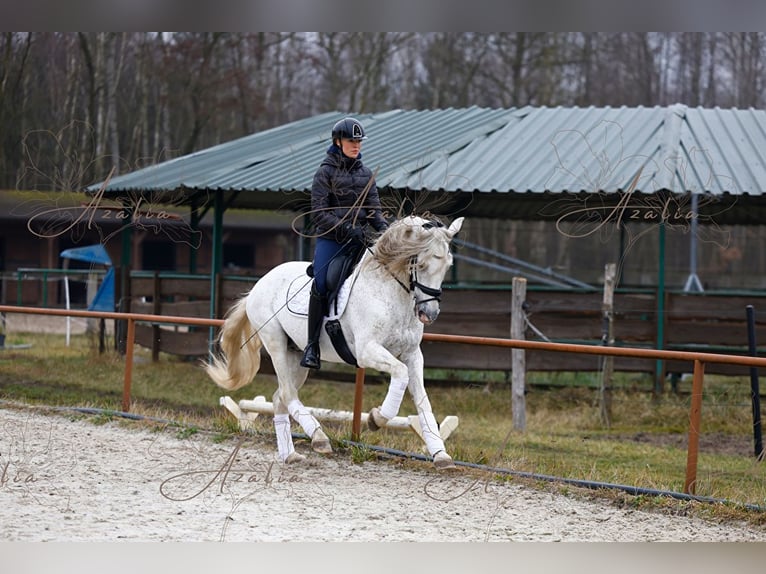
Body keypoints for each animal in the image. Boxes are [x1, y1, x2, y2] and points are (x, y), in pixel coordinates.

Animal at [207, 214, 464, 470]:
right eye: (421, 265)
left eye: (448, 266)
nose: (429, 314)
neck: (389, 290)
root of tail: (259, 284)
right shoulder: (367, 351)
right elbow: (400, 374)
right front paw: (376, 418)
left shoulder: (412, 354)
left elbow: (422, 399)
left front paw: (440, 455)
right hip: (275, 342)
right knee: (288, 394)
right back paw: (319, 437)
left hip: (295, 354)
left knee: (280, 397)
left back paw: (290, 455)